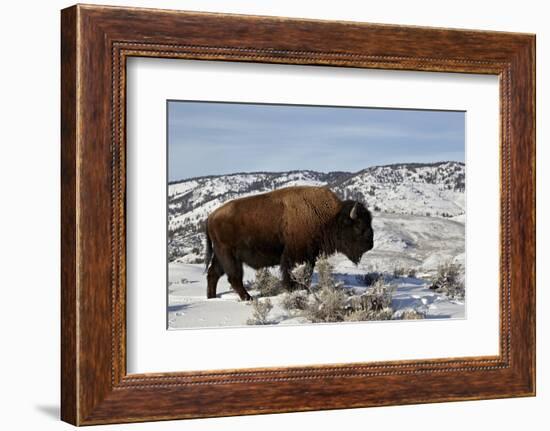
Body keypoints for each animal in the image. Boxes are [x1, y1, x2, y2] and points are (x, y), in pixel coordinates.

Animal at [204, 186, 376, 300]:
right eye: (359, 226)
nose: (370, 244)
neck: (329, 217)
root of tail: (211, 217)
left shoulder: (310, 256)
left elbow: (306, 274)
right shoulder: (294, 255)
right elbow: (291, 273)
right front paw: (293, 289)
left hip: (220, 256)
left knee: (213, 274)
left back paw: (212, 297)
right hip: (229, 255)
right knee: (234, 277)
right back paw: (248, 298)